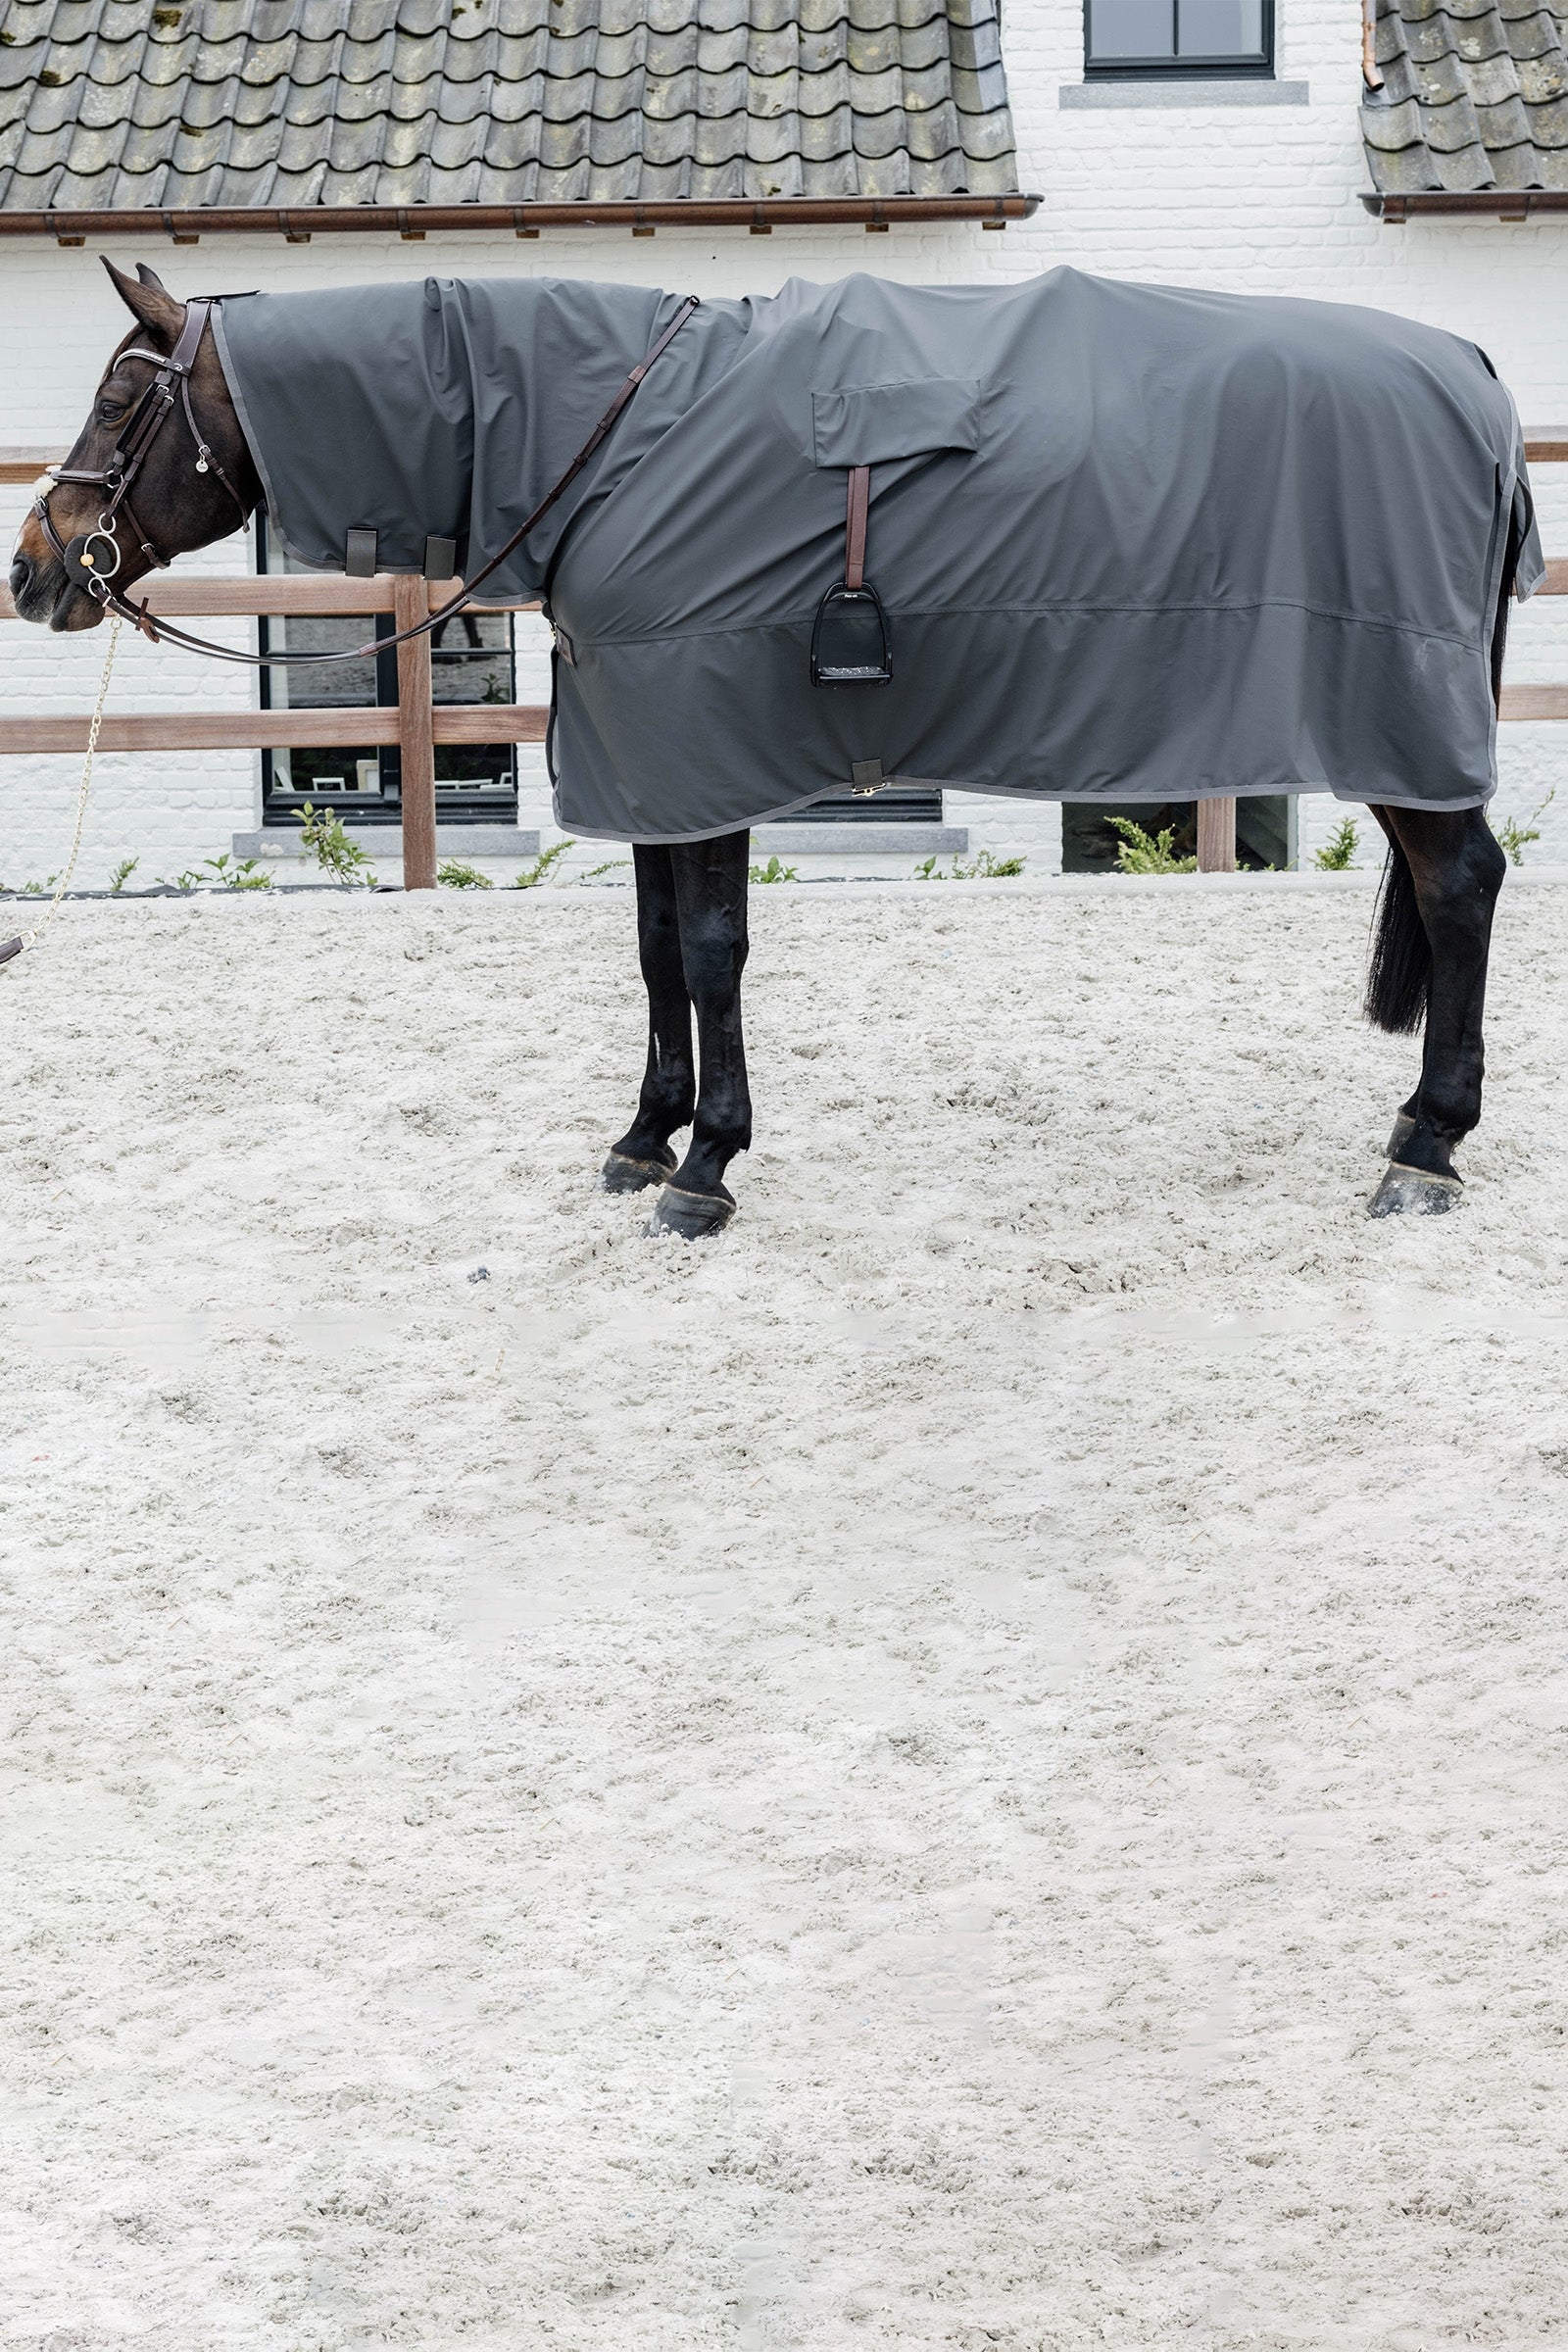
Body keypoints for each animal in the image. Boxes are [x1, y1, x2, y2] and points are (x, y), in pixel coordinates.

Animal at [9, 261, 1517, 1230]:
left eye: (118, 402)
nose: (33, 569)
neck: (605, 442)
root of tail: (1479, 375)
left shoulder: (705, 751)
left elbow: (714, 954)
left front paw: (706, 1170)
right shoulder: (649, 764)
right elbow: (656, 953)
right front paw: (643, 1139)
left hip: (1398, 724)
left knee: (1460, 888)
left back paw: (1428, 1151)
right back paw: (1411, 1131)